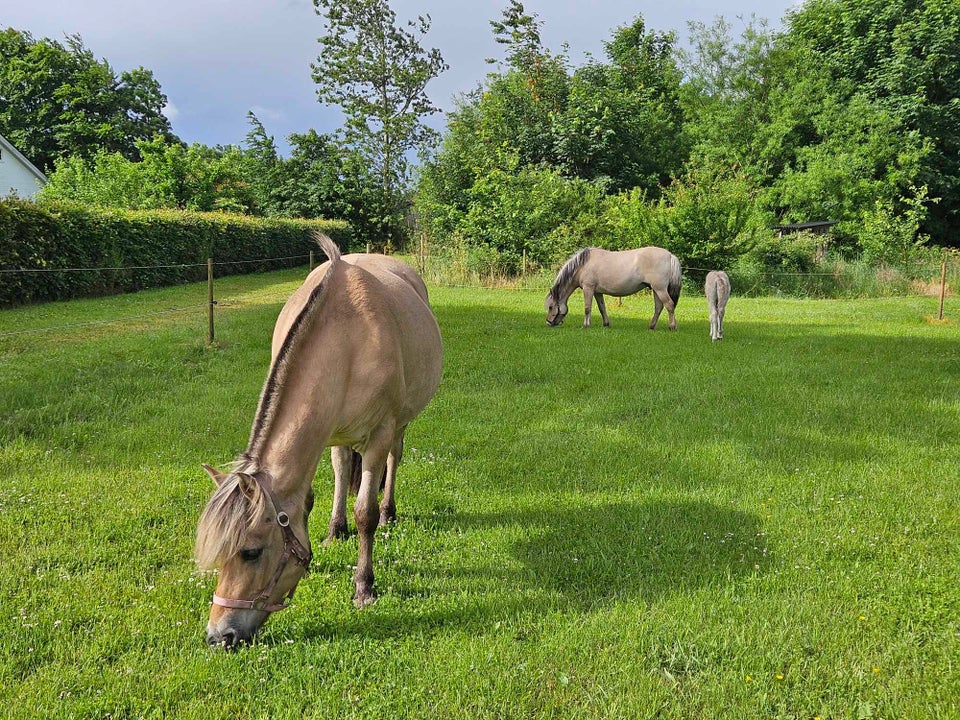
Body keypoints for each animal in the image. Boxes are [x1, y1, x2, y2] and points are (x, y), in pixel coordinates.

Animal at [199, 233, 446, 648]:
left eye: (251, 552)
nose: (220, 635)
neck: (346, 340)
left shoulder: (378, 435)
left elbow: (365, 512)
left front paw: (364, 586)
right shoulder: (327, 432)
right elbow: (323, 488)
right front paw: (332, 534)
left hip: (400, 424)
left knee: (394, 459)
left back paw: (390, 513)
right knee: (345, 468)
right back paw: (337, 529)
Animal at [548, 245, 684, 330]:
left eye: (550, 307)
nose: (548, 322)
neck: (583, 265)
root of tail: (670, 255)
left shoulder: (588, 289)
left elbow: (587, 308)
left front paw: (585, 325)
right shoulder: (597, 292)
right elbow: (602, 308)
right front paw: (606, 324)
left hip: (660, 289)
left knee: (669, 305)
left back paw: (672, 326)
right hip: (656, 290)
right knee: (659, 307)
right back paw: (651, 326)